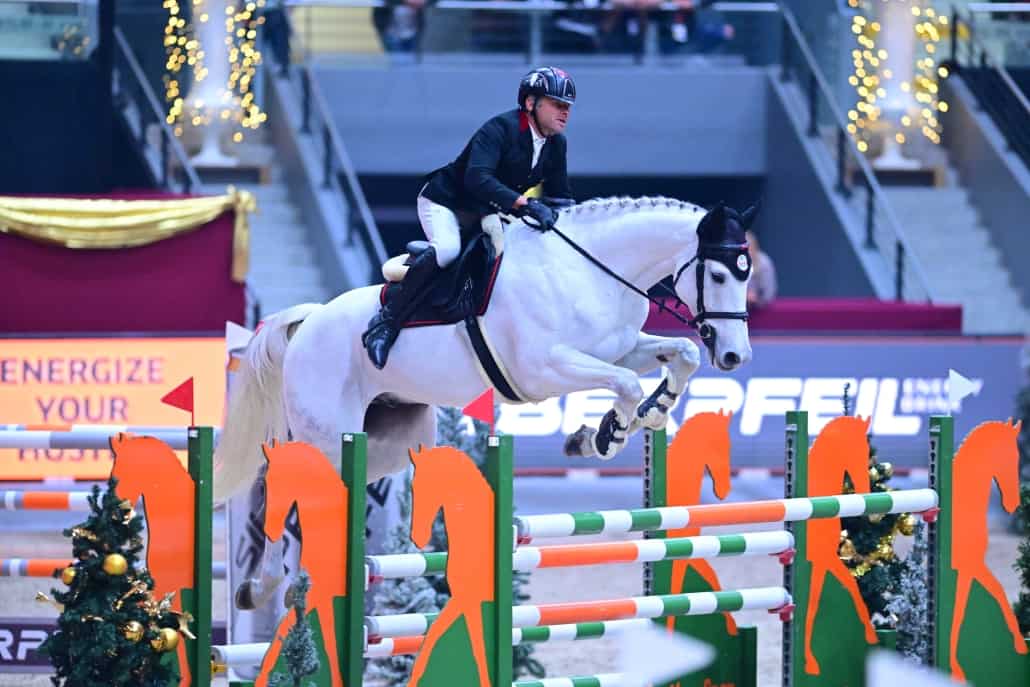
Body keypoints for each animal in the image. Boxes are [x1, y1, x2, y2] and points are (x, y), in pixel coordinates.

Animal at [213, 198, 756, 505]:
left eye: (746, 275)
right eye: (720, 275)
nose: (735, 358)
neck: (589, 270)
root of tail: (307, 322)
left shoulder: (619, 349)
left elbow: (682, 354)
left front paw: (654, 410)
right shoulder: (545, 369)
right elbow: (624, 384)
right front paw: (602, 436)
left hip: (389, 442)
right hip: (328, 436)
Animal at [408, 445, 494, 687]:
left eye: (432, 485)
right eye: (413, 487)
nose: (417, 538)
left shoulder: (470, 600)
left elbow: (479, 651)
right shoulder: (461, 599)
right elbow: (432, 635)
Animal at [663, 410, 735, 636]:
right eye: (721, 445)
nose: (725, 491)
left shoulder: (689, 548)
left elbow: (712, 578)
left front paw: (732, 627)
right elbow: (673, 596)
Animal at [802, 415, 876, 676]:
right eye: (857, 450)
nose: (866, 490)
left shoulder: (827, 559)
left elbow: (851, 586)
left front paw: (871, 636)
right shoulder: (821, 560)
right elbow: (812, 605)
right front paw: (810, 662)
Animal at [948, 419, 1027, 682]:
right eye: (1011, 457)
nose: (1013, 504)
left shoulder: (972, 567)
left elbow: (998, 591)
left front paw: (1020, 645)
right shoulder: (968, 567)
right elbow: (959, 613)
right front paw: (955, 669)